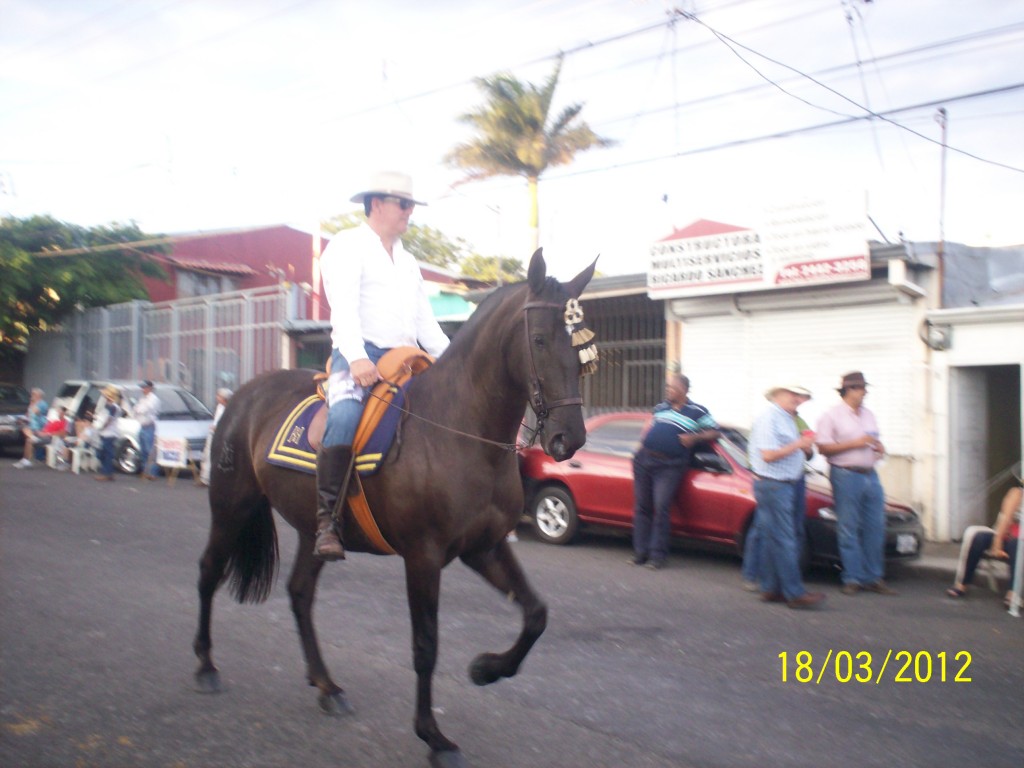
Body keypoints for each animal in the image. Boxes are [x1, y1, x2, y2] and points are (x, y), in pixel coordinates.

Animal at [192, 249, 598, 765]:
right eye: (541, 339)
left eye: (581, 346)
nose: (570, 438)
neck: (458, 429)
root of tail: (242, 397)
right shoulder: (423, 557)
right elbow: (426, 645)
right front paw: (433, 736)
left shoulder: (484, 546)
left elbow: (536, 613)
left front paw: (486, 669)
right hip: (232, 507)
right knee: (209, 571)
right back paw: (206, 665)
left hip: (310, 530)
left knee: (300, 593)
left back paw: (327, 686)